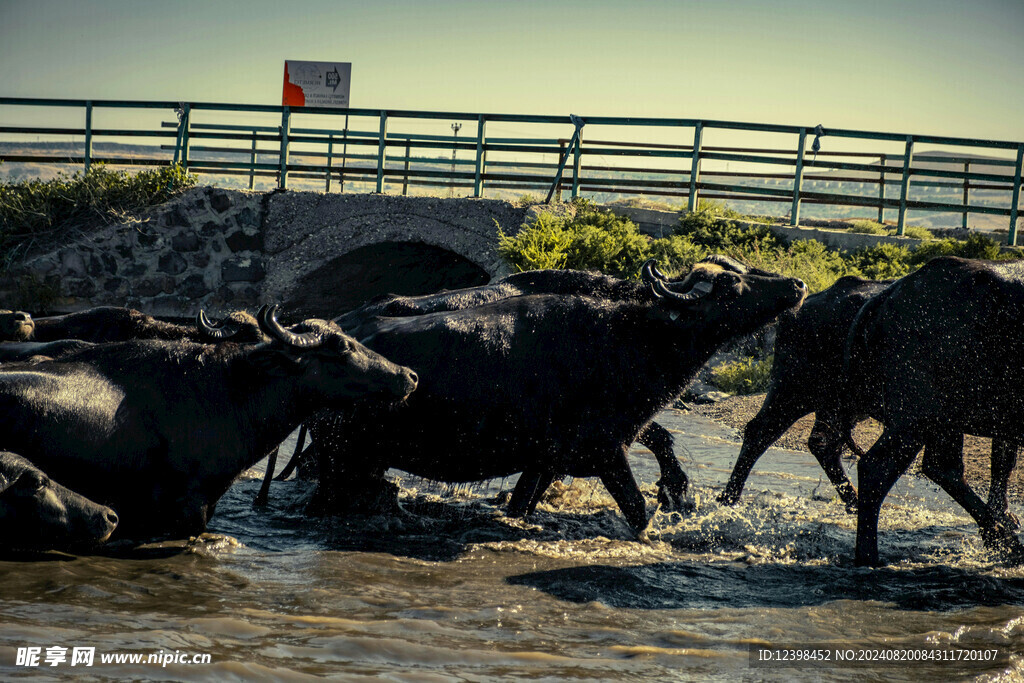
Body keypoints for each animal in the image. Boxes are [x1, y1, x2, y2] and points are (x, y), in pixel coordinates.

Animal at [307, 255, 802, 532]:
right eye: (731, 284)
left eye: (743, 271)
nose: (796, 285)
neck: (628, 337)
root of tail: (340, 324)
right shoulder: (603, 450)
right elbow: (639, 505)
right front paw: (675, 494)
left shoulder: (545, 461)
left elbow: (521, 505)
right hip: (341, 458)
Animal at [843, 255, 1024, 565]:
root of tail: (885, 296)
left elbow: (1004, 459)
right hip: (918, 411)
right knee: (877, 467)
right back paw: (869, 557)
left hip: (945, 413)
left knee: (944, 466)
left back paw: (1003, 540)